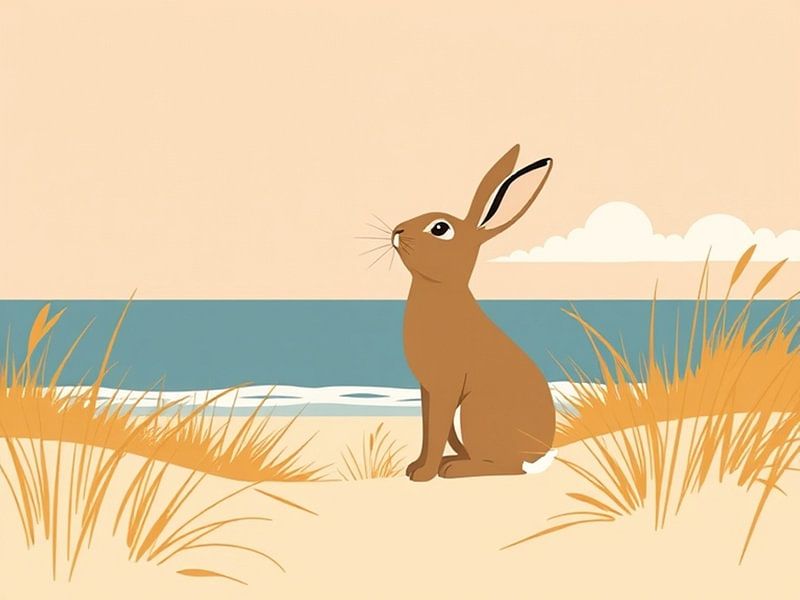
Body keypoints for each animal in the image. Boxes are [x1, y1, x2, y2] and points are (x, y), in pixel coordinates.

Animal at [392, 145, 557, 481]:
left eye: (440, 228)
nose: (397, 230)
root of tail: (534, 457)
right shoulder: (427, 390)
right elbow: (428, 430)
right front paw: (415, 467)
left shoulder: (445, 387)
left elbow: (435, 431)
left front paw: (423, 475)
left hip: (476, 412)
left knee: (506, 468)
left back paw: (454, 469)